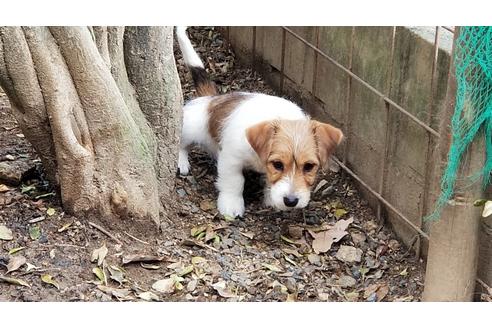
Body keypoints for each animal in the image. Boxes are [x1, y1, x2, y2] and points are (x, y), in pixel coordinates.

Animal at [176, 27, 342, 218]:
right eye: (278, 164)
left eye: (309, 166)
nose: (290, 201)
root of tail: (211, 98)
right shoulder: (231, 159)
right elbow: (234, 182)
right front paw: (231, 204)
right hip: (191, 126)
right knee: (181, 142)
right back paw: (181, 161)